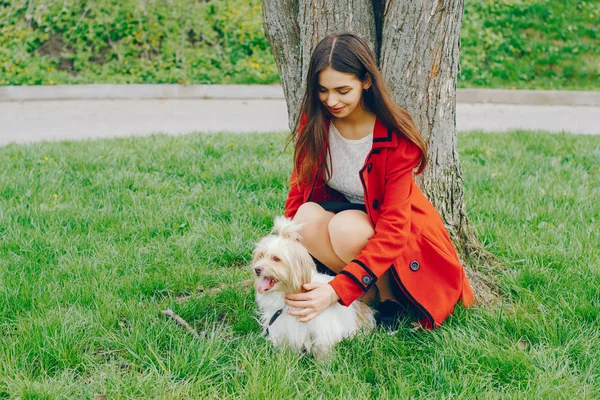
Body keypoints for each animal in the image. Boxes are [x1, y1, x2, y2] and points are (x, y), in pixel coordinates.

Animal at [250, 216, 372, 356]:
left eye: (276, 258)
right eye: (260, 255)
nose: (257, 269)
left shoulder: (322, 328)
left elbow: (322, 348)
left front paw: (324, 362)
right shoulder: (284, 327)